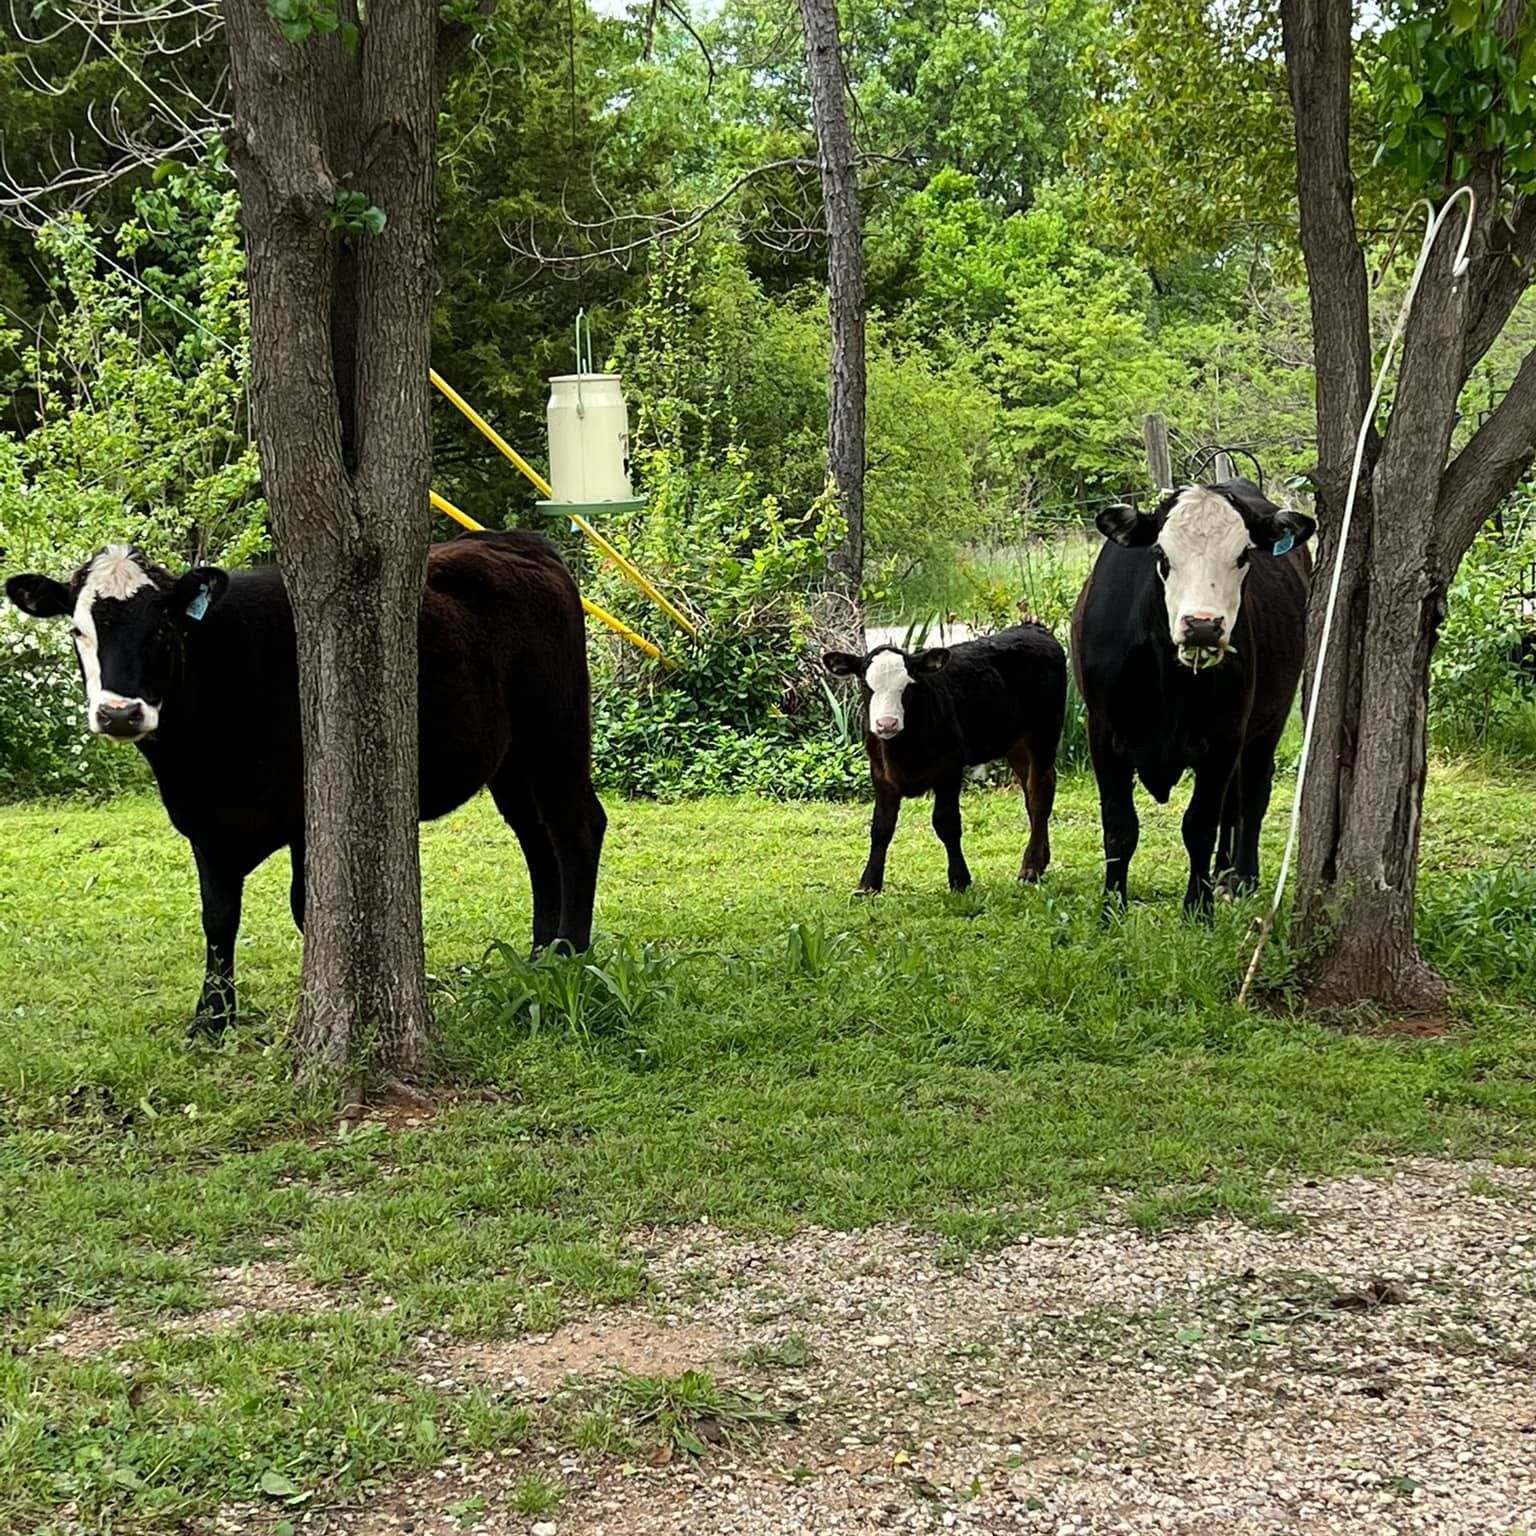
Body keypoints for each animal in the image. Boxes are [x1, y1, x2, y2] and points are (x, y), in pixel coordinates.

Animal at [4, 531, 607, 1036]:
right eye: (77, 630)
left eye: (162, 628)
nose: (119, 713)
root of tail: (517, 541)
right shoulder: (204, 821)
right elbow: (218, 916)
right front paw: (212, 1017)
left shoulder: (305, 815)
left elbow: (307, 908)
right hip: (513, 763)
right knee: (538, 845)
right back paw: (538, 957)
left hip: (557, 732)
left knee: (577, 830)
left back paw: (570, 960)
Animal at [822, 623, 1066, 894]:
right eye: (866, 685)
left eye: (908, 685)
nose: (887, 723)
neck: (901, 750)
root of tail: (1033, 627)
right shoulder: (880, 773)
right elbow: (881, 827)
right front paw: (869, 884)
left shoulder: (949, 768)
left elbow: (946, 823)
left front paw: (960, 879)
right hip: (1017, 744)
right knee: (1034, 793)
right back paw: (1041, 861)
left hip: (1044, 734)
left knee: (1039, 797)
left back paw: (1030, 869)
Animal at [1070, 478, 1315, 914]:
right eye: (1162, 554)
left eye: (1243, 555)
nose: (1202, 625)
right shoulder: (1103, 735)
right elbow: (1119, 827)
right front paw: (1111, 908)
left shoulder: (1224, 737)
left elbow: (1199, 825)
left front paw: (1198, 910)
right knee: (1233, 803)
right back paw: (1223, 870)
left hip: (1270, 718)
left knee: (1252, 793)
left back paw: (1240, 876)